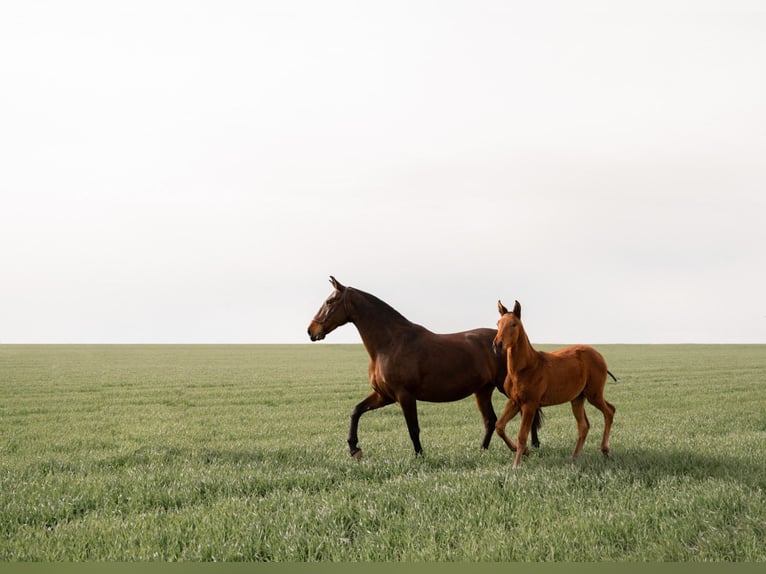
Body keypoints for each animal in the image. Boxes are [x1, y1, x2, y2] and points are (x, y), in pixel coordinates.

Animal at [307, 276, 542, 458]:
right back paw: (482, 450)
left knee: (525, 412)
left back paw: (533, 446)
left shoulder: (404, 395)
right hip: (482, 390)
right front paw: (354, 449)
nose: (311, 330)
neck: (391, 343)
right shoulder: (384, 395)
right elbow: (356, 411)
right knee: (491, 420)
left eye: (330, 301)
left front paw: (420, 456)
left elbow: (413, 429)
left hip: (505, 387)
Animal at [492, 300, 616, 468]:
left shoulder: (530, 405)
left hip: (593, 394)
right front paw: (523, 452)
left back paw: (605, 449)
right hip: (577, 398)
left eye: (514, 324)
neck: (523, 369)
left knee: (609, 411)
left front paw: (516, 465)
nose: (497, 345)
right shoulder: (514, 402)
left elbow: (522, 435)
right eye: (498, 323)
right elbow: (499, 426)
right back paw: (574, 457)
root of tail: (599, 356)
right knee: (584, 426)